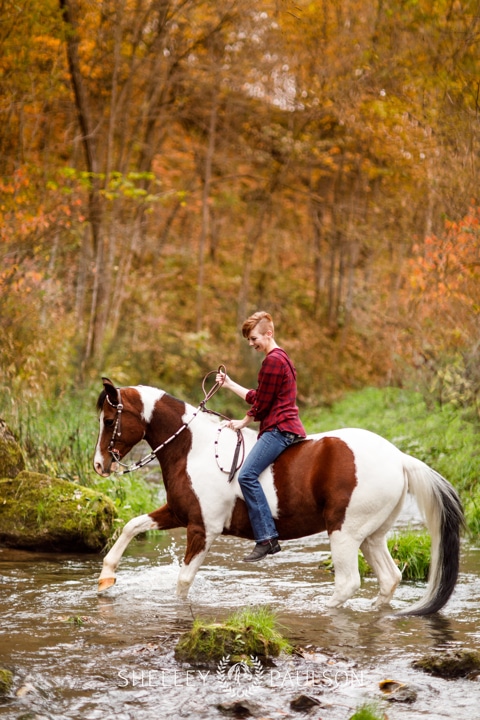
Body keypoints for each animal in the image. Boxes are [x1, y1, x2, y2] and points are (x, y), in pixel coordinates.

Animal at [92, 374, 464, 616]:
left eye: (110, 420)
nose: (98, 465)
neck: (192, 448)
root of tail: (399, 458)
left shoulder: (203, 529)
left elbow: (183, 582)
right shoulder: (179, 513)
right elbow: (132, 526)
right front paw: (106, 578)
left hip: (344, 532)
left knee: (348, 583)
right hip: (371, 535)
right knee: (389, 579)